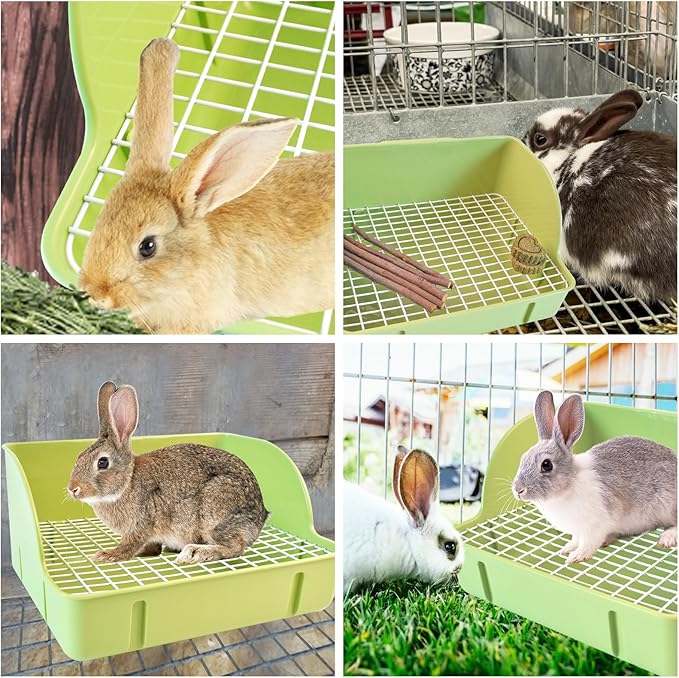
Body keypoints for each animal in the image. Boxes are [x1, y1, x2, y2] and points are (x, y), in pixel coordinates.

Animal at [67, 381, 268, 563]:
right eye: (79, 457)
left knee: (235, 547)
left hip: (215, 513)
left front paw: (107, 555)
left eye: (102, 462)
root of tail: (260, 517)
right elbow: (151, 547)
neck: (127, 483)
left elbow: (130, 544)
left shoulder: (142, 523)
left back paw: (194, 553)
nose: (72, 489)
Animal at [512, 390, 677, 565]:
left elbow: (588, 543)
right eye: (523, 458)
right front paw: (567, 548)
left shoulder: (594, 526)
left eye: (546, 465)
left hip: (668, 506)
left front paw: (576, 556)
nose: (518, 490)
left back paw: (667, 538)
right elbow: (576, 539)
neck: (569, 485)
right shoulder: (578, 530)